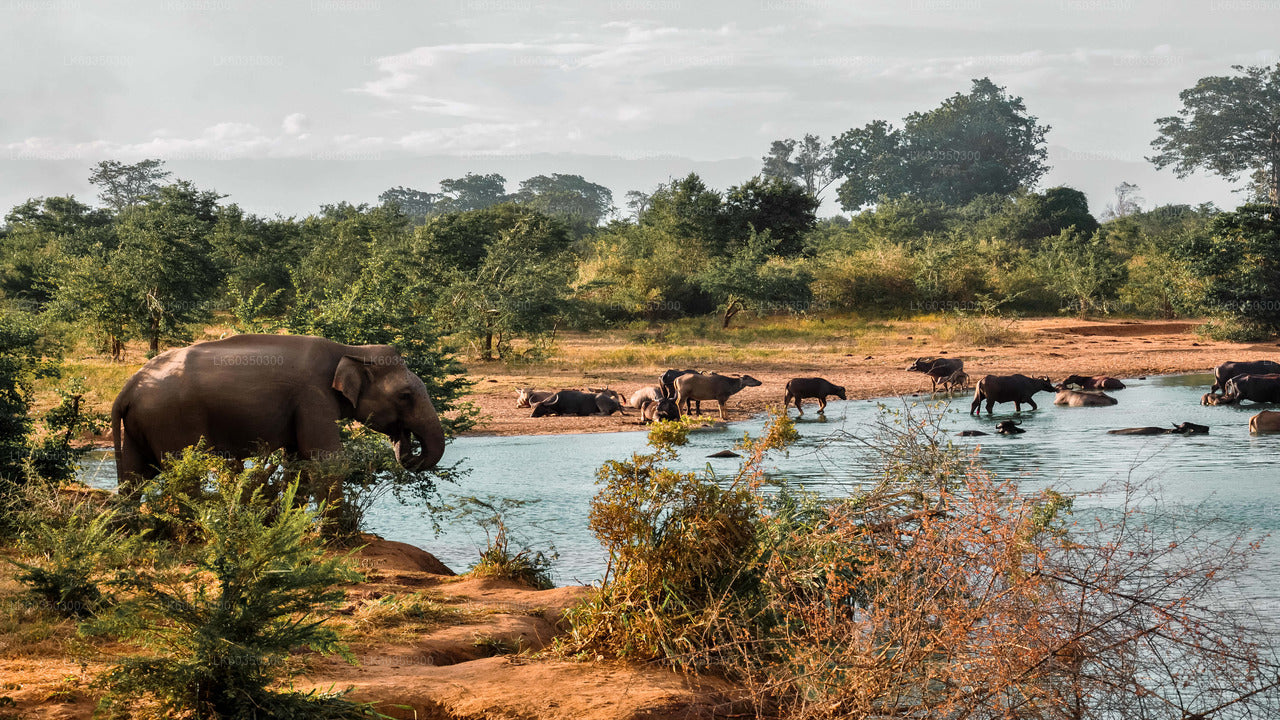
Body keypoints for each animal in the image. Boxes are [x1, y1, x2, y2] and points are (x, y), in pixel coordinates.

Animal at [115, 333, 445, 497]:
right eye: (405, 396)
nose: (410, 454)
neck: (349, 349)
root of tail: (128, 387)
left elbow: (299, 461)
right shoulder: (313, 396)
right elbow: (326, 459)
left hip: (140, 426)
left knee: (134, 476)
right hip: (172, 420)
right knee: (182, 472)